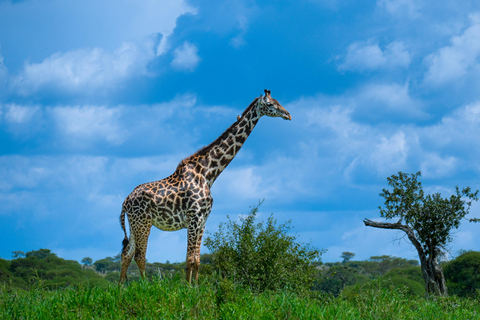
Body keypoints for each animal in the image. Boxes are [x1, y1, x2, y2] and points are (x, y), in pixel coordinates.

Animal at [120, 89, 292, 284]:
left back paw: (121, 287)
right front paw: (187, 287)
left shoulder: (203, 219)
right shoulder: (194, 217)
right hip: (144, 222)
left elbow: (197, 260)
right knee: (139, 256)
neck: (208, 173)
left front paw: (196, 286)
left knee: (126, 254)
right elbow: (189, 258)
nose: (288, 114)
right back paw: (147, 286)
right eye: (270, 104)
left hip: (135, 224)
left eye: (278, 101)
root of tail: (125, 201)